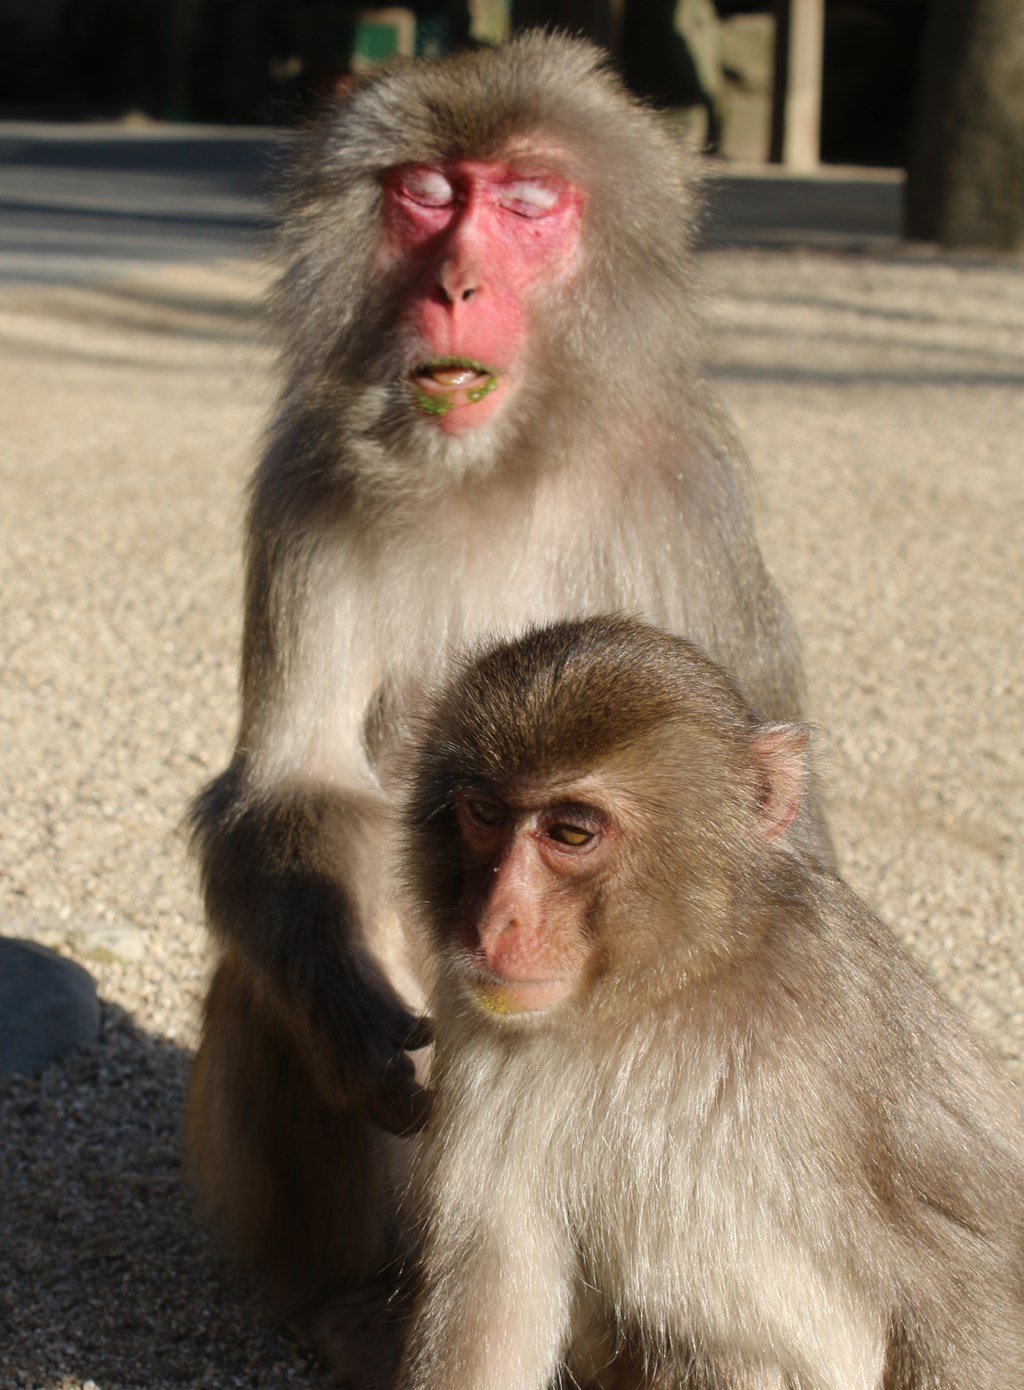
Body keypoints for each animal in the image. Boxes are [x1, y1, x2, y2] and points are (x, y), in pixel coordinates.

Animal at [186, 27, 833, 1373]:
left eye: (529, 205)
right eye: (430, 194)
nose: (455, 285)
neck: (496, 471)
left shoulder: (684, 502)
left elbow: (761, 835)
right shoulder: (306, 481)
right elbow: (289, 788)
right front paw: (351, 1016)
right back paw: (346, 1299)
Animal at [397, 619, 1022, 1390]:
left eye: (570, 832)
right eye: (484, 814)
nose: (491, 921)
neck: (658, 995)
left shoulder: (850, 1008)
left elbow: (971, 1274)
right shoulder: (476, 1019)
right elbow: (493, 1287)